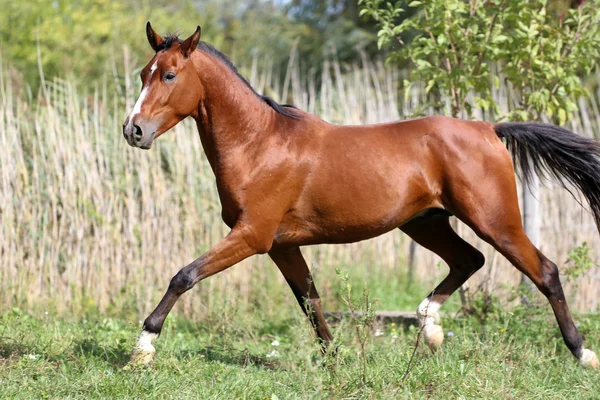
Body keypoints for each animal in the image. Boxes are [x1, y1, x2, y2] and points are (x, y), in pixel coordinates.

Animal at [123, 23, 600, 368]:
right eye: (144, 74)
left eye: (169, 74)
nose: (134, 131)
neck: (259, 143)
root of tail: (490, 128)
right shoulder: (280, 245)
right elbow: (311, 302)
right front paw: (337, 360)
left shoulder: (252, 236)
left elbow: (183, 275)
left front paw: (142, 349)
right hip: (425, 223)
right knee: (469, 260)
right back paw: (429, 327)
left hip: (495, 220)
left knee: (545, 271)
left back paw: (582, 354)